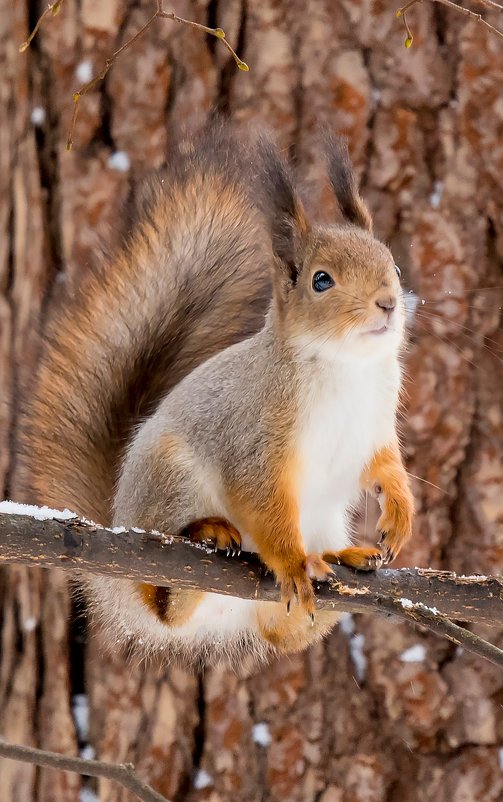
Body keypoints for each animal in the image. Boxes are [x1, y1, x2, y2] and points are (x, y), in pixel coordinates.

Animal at [21, 122, 416, 664]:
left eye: (393, 266)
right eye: (321, 280)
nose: (388, 303)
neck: (346, 368)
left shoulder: (373, 427)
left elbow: (385, 468)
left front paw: (398, 512)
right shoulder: (255, 438)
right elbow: (263, 501)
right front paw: (291, 563)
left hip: (321, 524)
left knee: (281, 631)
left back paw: (339, 555)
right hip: (172, 480)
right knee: (163, 603)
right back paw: (205, 546)